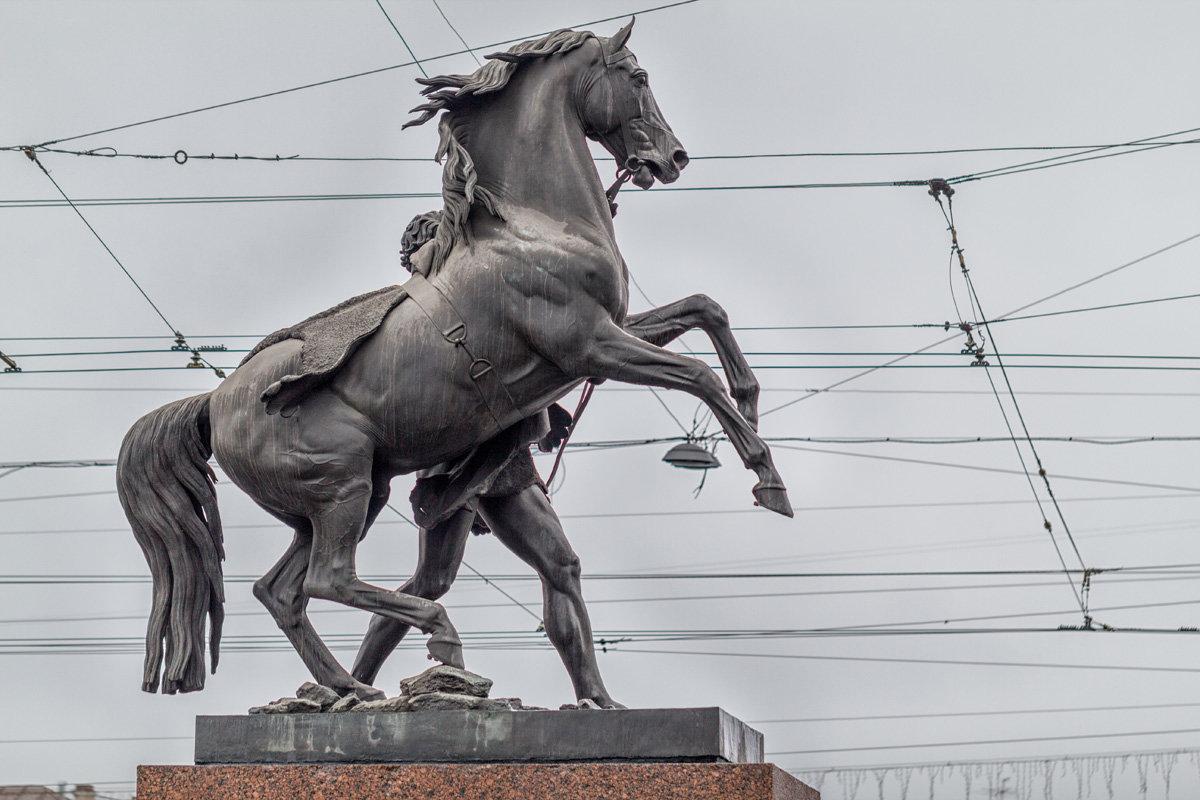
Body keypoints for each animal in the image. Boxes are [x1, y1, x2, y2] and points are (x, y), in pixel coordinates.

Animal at [112, 20, 787, 700]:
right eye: (639, 77)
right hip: (344, 486)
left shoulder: (603, 339)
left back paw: (352, 689)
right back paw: (436, 644)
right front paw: (767, 478)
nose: (674, 158)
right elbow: (696, 374)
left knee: (281, 591)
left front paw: (752, 401)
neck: (534, 226)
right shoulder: (588, 343)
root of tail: (212, 403)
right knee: (329, 580)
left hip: (352, 498)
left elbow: (705, 309)